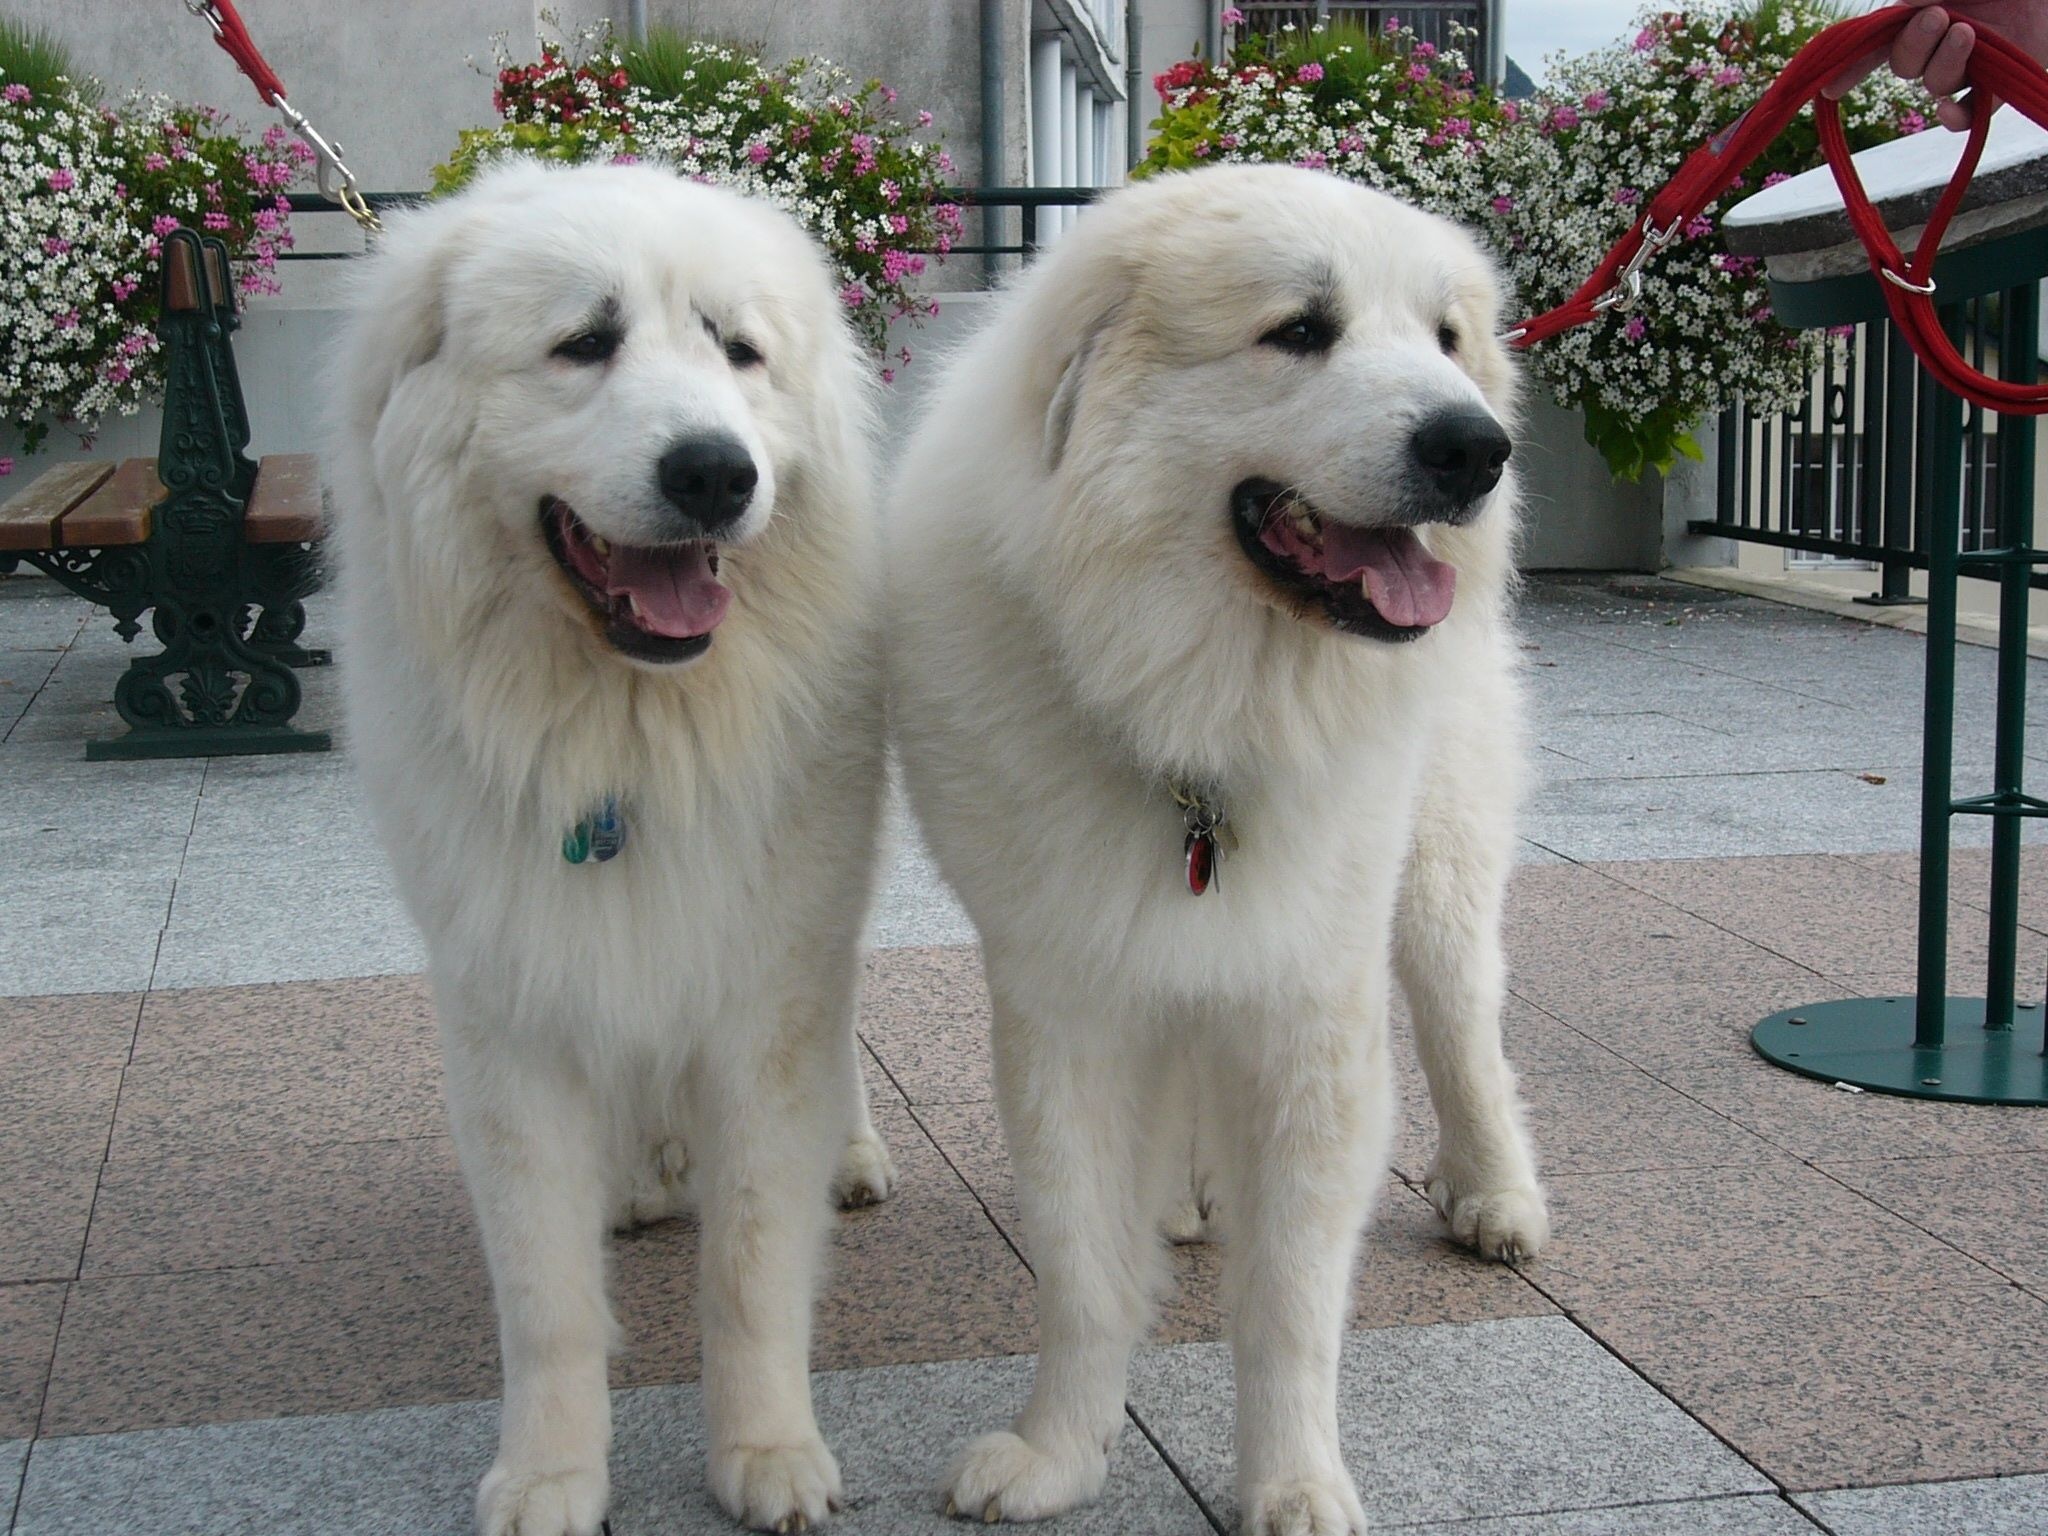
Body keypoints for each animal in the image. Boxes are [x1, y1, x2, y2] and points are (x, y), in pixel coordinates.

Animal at [333, 162, 897, 1531]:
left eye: (737, 350)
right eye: (584, 343)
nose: (714, 474)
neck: (629, 739)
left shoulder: (765, 992)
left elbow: (750, 1261)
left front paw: (765, 1452)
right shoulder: (512, 1012)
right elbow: (545, 1299)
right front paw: (548, 1476)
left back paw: (849, 1154)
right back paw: (643, 1173)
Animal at [888, 162, 1540, 1531]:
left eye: (1444, 338)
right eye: (1299, 330)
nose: (1473, 447)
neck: (1195, 718)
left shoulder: (1308, 1005)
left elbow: (1289, 1299)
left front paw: (1292, 1485)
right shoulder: (1066, 999)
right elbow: (1081, 1262)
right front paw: (1059, 1455)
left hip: (1437, 880)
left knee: (1464, 1030)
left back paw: (1496, 1196)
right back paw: (1186, 1195)